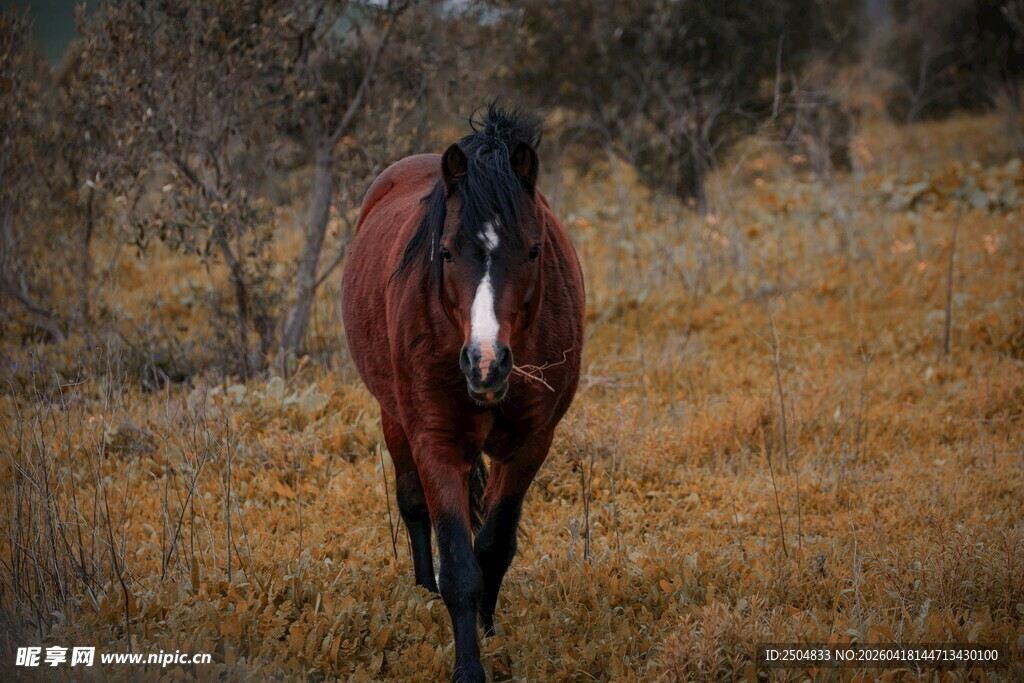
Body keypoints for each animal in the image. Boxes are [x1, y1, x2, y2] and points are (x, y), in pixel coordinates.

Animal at [341, 105, 585, 681]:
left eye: (534, 250)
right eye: (447, 252)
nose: (486, 363)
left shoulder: (530, 444)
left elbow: (492, 549)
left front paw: (491, 635)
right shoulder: (436, 441)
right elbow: (458, 565)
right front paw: (468, 666)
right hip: (393, 419)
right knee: (412, 507)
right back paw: (422, 595)